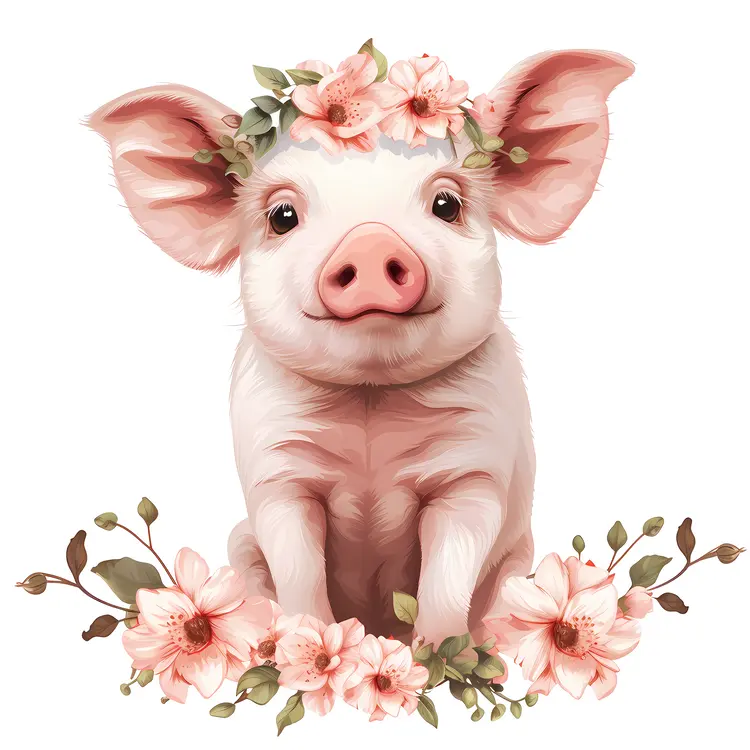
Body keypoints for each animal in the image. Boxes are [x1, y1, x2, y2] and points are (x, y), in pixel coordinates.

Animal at [89, 49, 633, 646]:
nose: (371, 243)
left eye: (447, 203)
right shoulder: (276, 471)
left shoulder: (474, 469)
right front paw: (309, 647)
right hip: (241, 544)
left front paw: (436, 655)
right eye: (282, 216)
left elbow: (448, 573)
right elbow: (298, 568)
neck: (371, 404)